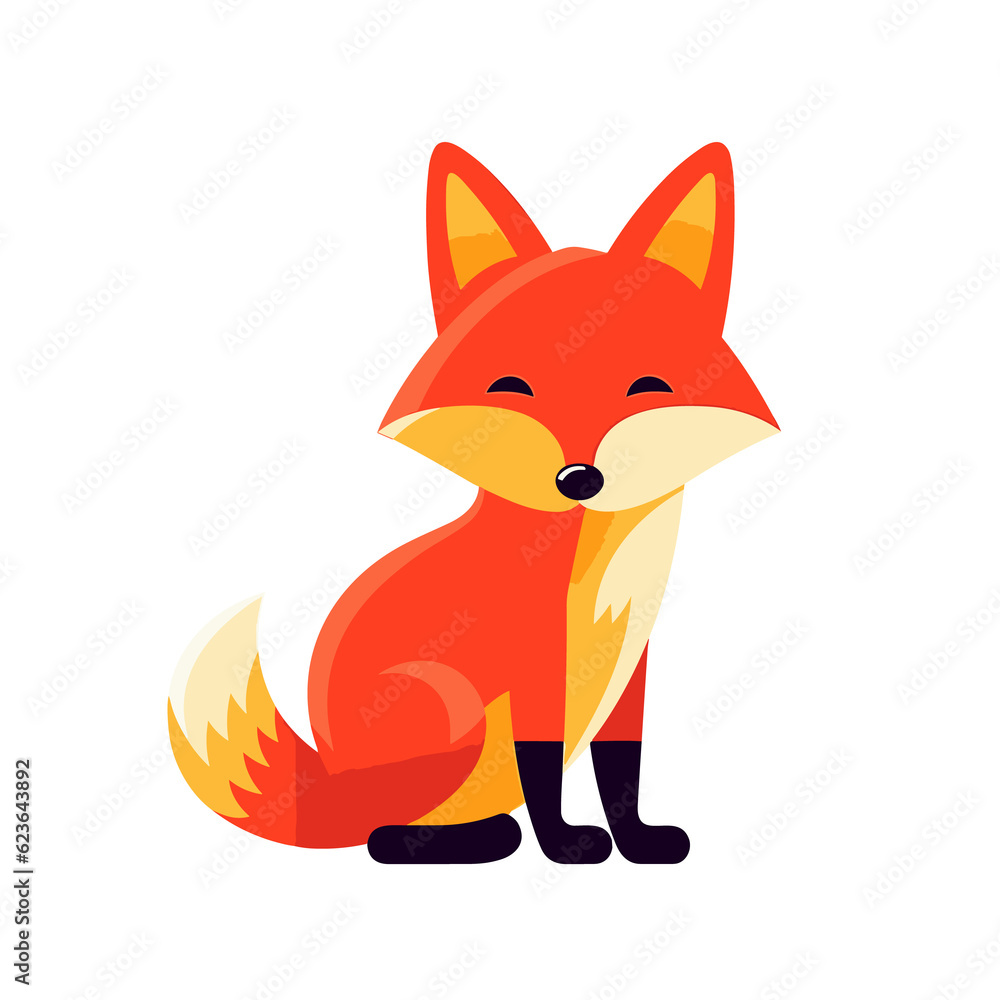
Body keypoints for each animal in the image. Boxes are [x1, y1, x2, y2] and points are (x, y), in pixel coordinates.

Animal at [168, 140, 779, 864]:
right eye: (511, 387)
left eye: (646, 386)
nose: (579, 478)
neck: (600, 568)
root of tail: (330, 775)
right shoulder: (532, 659)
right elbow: (542, 764)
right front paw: (566, 845)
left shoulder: (630, 669)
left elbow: (621, 766)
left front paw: (636, 841)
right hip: (449, 707)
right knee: (383, 837)